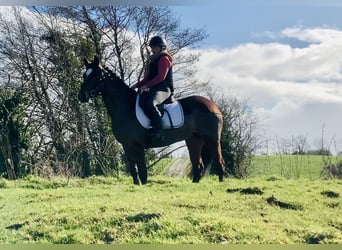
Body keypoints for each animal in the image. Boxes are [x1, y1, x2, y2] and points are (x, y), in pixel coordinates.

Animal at [78, 57, 226, 186]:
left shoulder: (137, 145)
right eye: (85, 75)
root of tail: (213, 105)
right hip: (194, 140)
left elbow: (142, 171)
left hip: (212, 140)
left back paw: (220, 185)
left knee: (219, 162)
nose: (82, 96)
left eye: (95, 75)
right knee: (198, 165)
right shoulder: (127, 145)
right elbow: (134, 170)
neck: (125, 107)